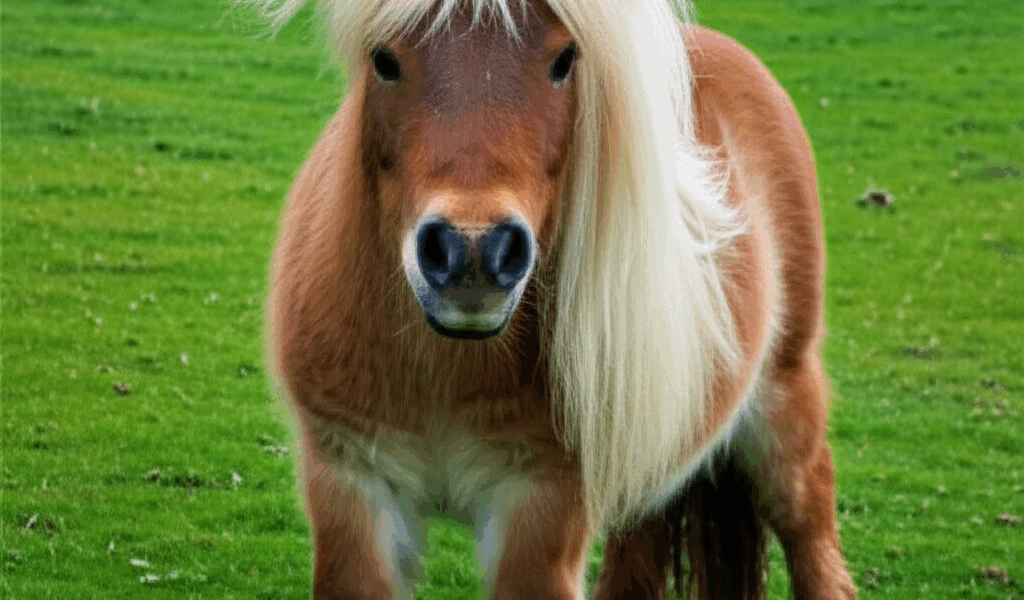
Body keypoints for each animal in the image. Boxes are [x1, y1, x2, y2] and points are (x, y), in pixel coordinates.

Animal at [249, 0, 858, 597]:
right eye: (383, 58)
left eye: (565, 60)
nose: (474, 253)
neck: (442, 371)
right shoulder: (349, 483)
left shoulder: (542, 507)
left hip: (784, 402)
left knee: (811, 529)